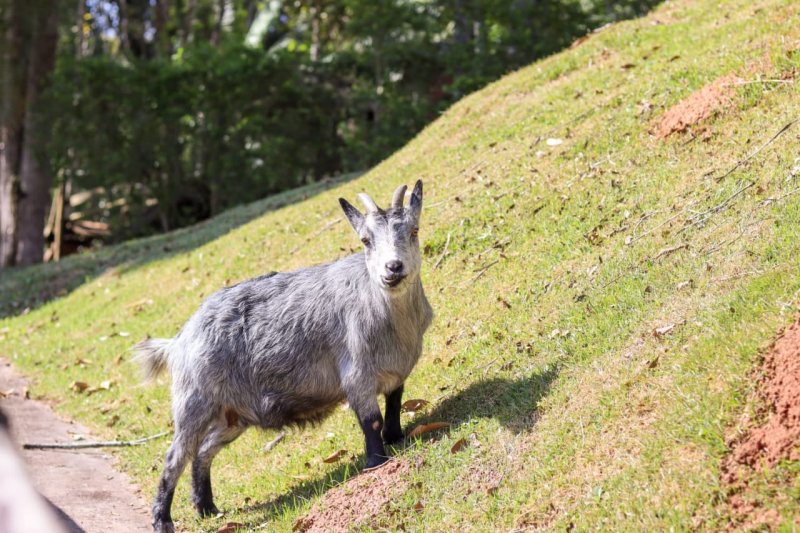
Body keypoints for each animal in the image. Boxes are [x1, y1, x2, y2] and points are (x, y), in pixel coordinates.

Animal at [134, 180, 432, 532]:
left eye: (414, 230)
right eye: (365, 240)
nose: (393, 268)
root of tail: (179, 340)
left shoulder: (395, 371)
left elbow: (395, 403)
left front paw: (397, 437)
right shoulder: (356, 373)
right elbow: (370, 420)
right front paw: (377, 461)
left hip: (233, 415)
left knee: (203, 451)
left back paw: (206, 507)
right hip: (193, 401)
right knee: (174, 457)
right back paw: (163, 520)